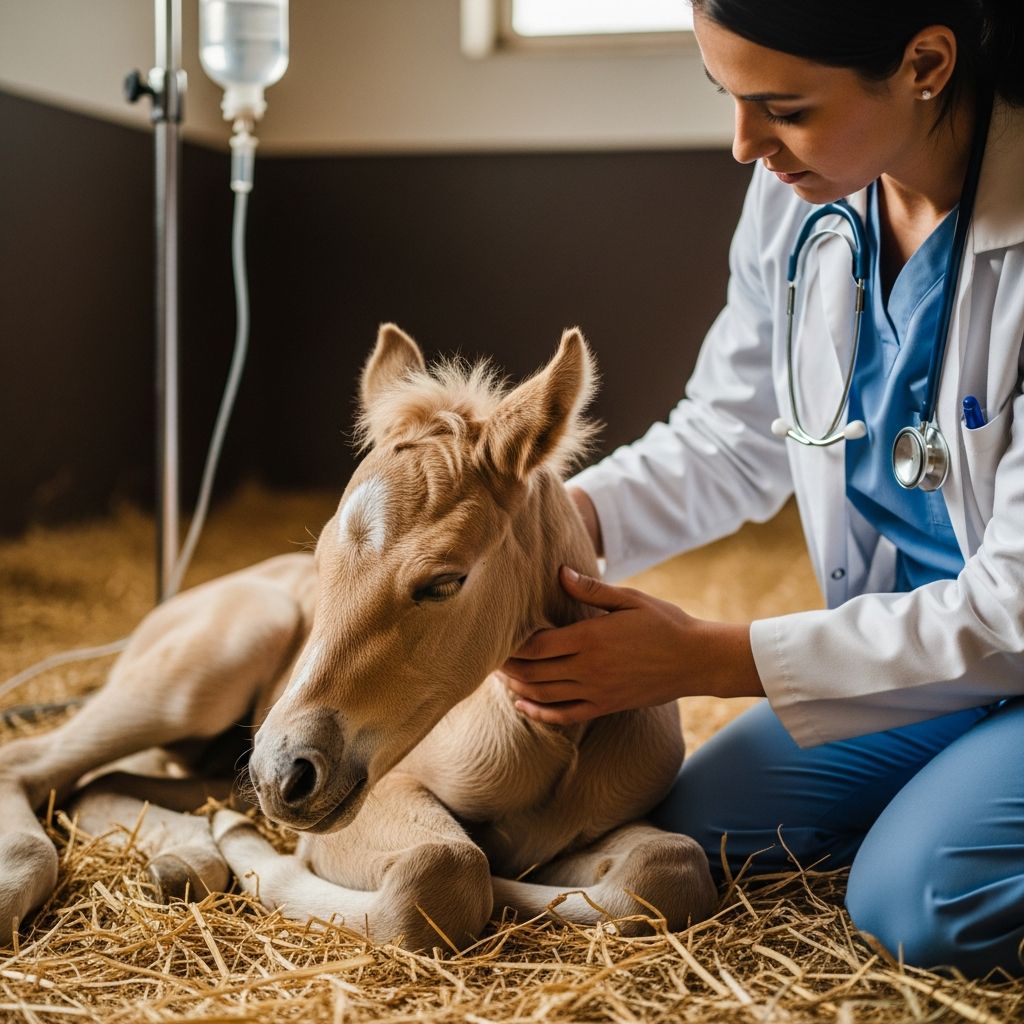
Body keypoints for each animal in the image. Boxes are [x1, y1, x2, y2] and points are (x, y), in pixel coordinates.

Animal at [0, 325, 716, 951]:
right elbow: (445, 870)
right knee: (33, 761)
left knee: (102, 780)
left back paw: (187, 856)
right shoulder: (382, 794)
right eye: (321, 562)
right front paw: (260, 848)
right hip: (204, 674)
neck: (549, 739)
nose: (282, 773)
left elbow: (670, 867)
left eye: (443, 581)